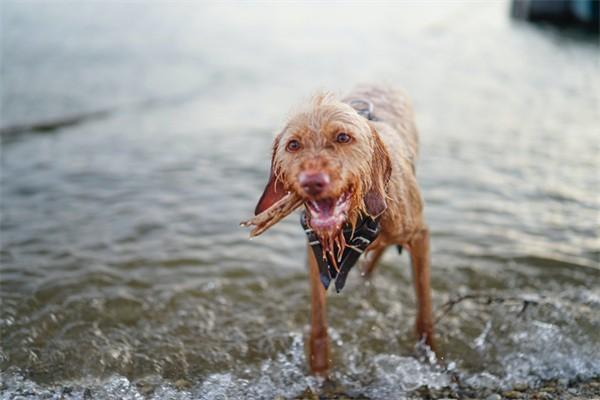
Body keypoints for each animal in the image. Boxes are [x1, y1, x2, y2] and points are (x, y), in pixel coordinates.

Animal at [248, 84, 432, 376]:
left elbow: (425, 313)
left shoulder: (420, 237)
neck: (357, 219)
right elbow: (319, 329)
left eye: (343, 137)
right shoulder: (316, 257)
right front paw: (320, 374)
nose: (312, 181)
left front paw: (428, 354)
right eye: (293, 145)